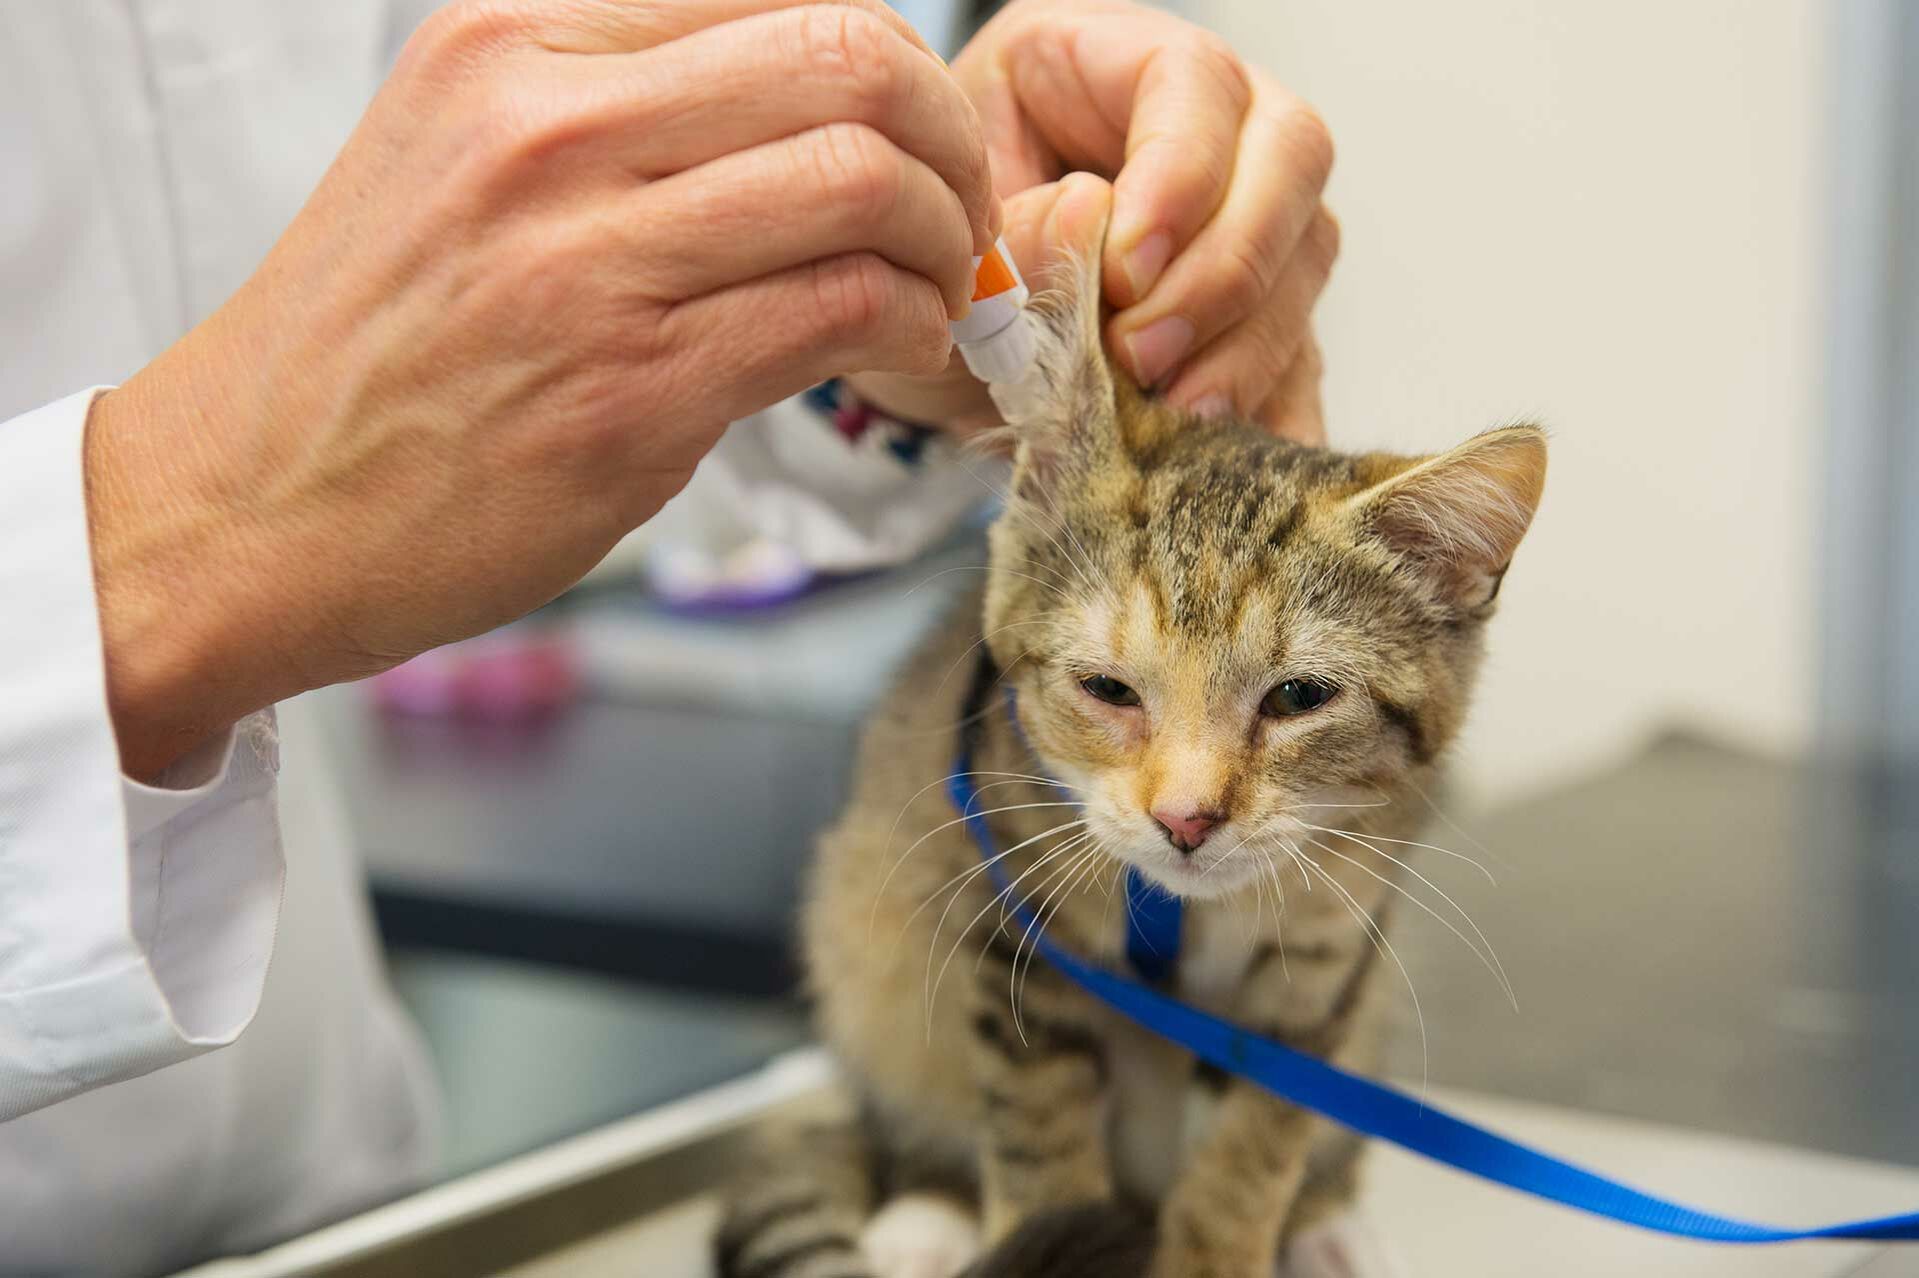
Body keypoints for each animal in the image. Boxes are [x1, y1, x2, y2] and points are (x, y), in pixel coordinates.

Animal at [717, 241, 1542, 1274]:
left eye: (1296, 699)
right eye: (1107, 689)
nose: (1185, 818)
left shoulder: (1325, 961)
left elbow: (1252, 1147)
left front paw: (1223, 1247)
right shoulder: (1015, 933)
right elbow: (1036, 1133)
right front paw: (1040, 1227)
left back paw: (1325, 1222)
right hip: (864, 921)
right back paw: (928, 1211)